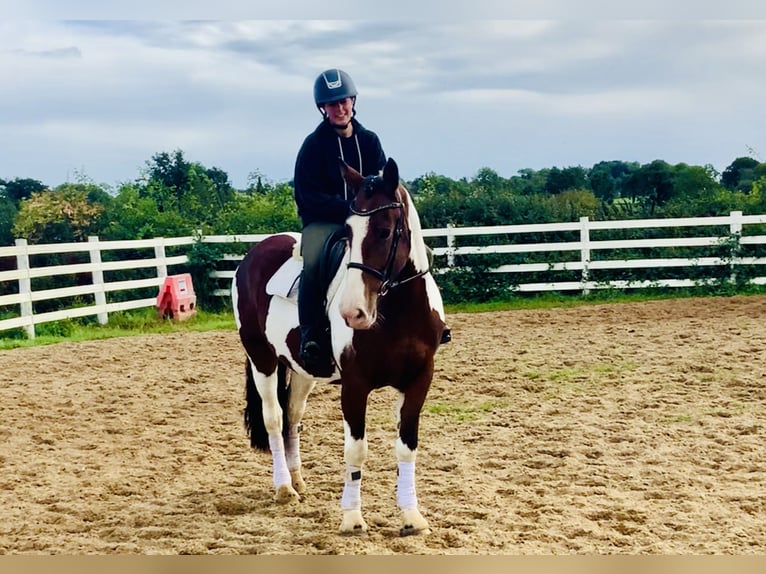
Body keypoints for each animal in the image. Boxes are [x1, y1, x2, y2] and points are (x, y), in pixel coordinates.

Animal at [232, 156, 450, 536]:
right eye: (348, 233)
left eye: (384, 231)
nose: (353, 313)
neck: (399, 312)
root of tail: (253, 254)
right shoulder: (355, 386)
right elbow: (355, 452)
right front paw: (351, 518)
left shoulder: (418, 381)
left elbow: (406, 448)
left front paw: (411, 516)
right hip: (262, 358)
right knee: (274, 419)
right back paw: (284, 488)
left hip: (302, 369)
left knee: (292, 417)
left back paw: (298, 480)